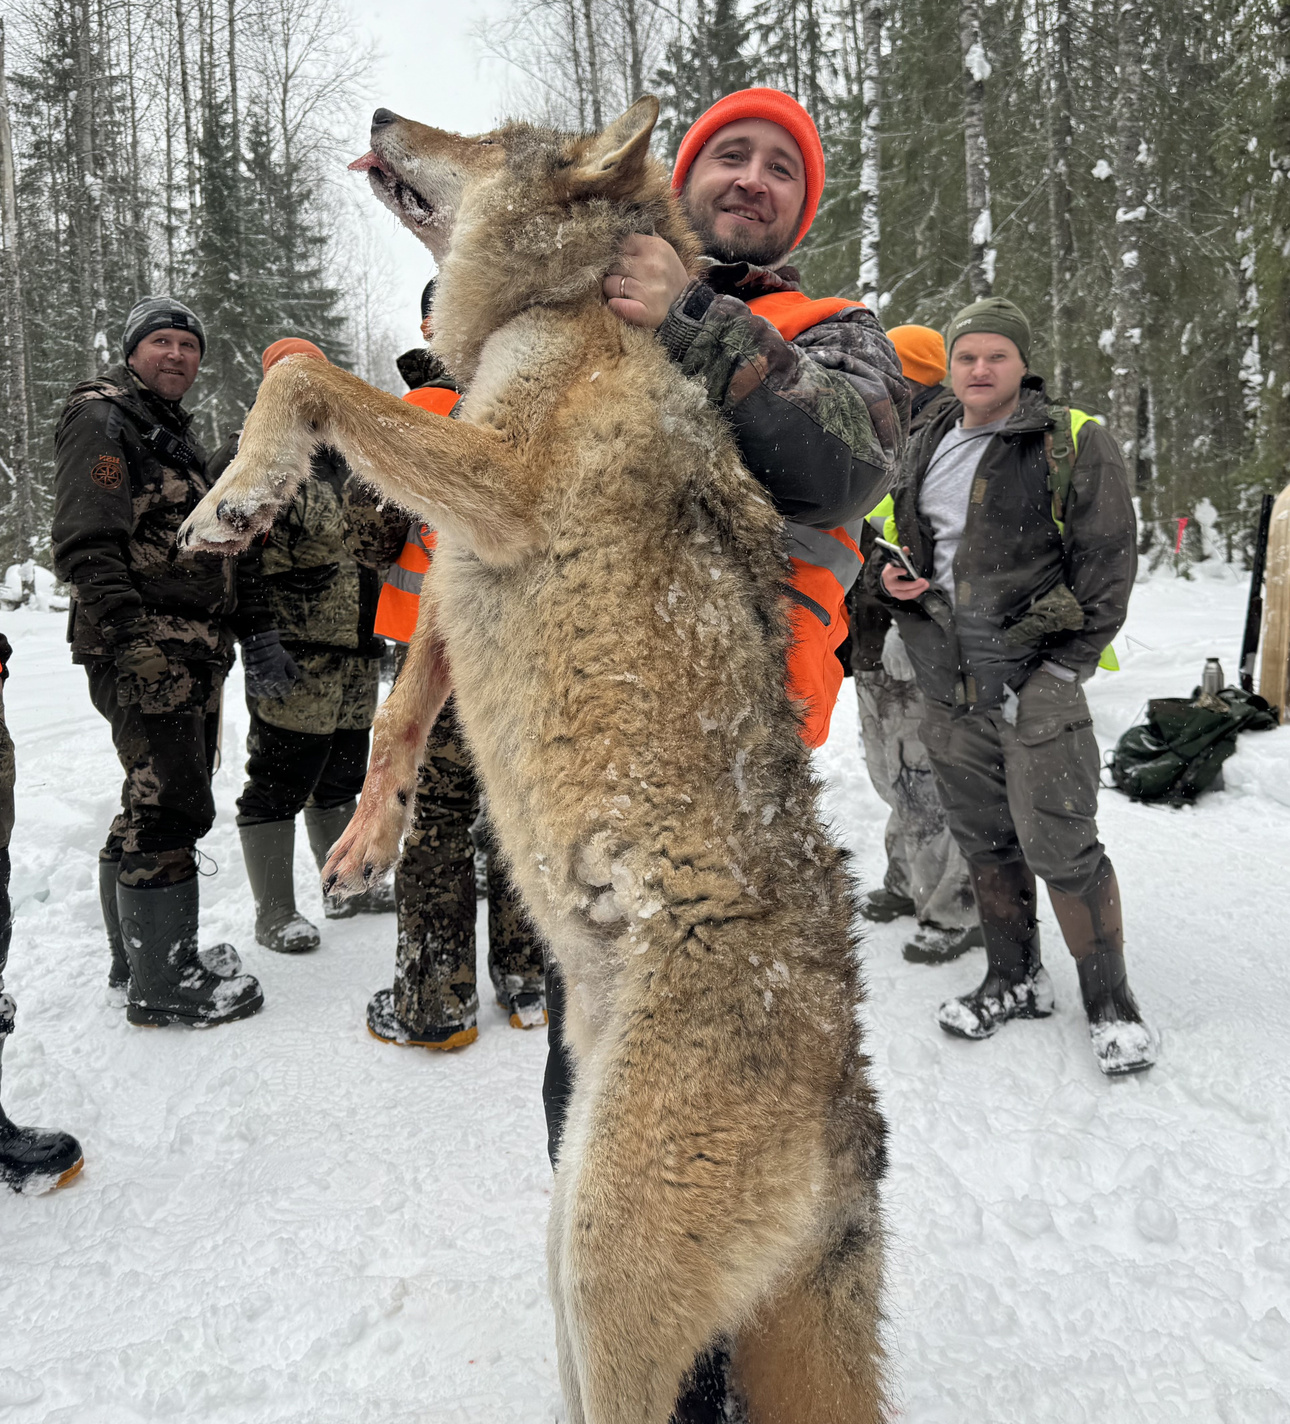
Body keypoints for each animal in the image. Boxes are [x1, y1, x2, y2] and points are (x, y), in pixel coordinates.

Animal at [178, 94, 882, 1418]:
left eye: (489, 136)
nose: (382, 113)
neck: (556, 307)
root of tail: (850, 1112)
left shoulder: (493, 486)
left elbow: (303, 373)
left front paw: (232, 498)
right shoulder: (456, 556)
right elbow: (401, 710)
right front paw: (369, 837)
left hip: (599, 1257)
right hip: (567, 1231)